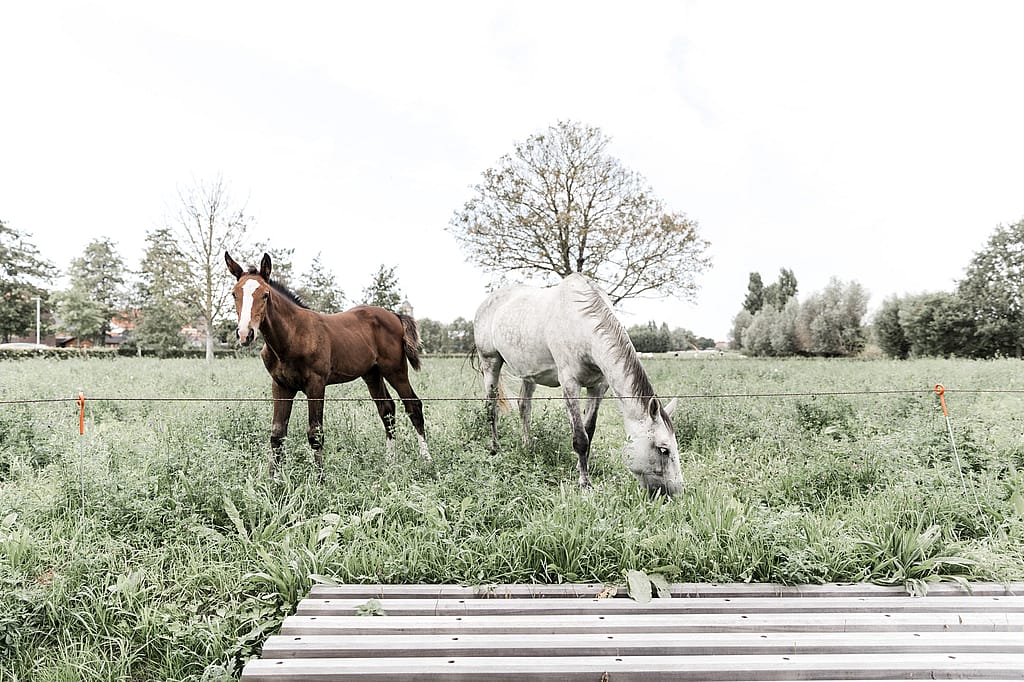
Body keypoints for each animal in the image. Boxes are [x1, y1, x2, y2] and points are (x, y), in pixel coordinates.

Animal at [225, 252, 430, 478]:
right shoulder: (280, 385)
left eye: (265, 294)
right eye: (234, 294)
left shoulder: (316, 384)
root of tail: (394, 315)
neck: (293, 336)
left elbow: (315, 433)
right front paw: (273, 480)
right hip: (372, 374)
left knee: (413, 406)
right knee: (387, 410)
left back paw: (427, 461)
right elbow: (277, 433)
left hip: (396, 370)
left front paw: (320, 479)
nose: (245, 334)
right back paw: (390, 464)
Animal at [474, 273, 683, 496]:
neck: (582, 325)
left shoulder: (598, 387)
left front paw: (580, 467)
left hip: (528, 373)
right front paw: (585, 483)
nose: (676, 493)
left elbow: (588, 430)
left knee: (524, 407)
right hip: (490, 362)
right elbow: (580, 438)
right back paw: (496, 448)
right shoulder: (570, 384)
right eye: (663, 449)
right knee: (491, 408)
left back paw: (528, 446)